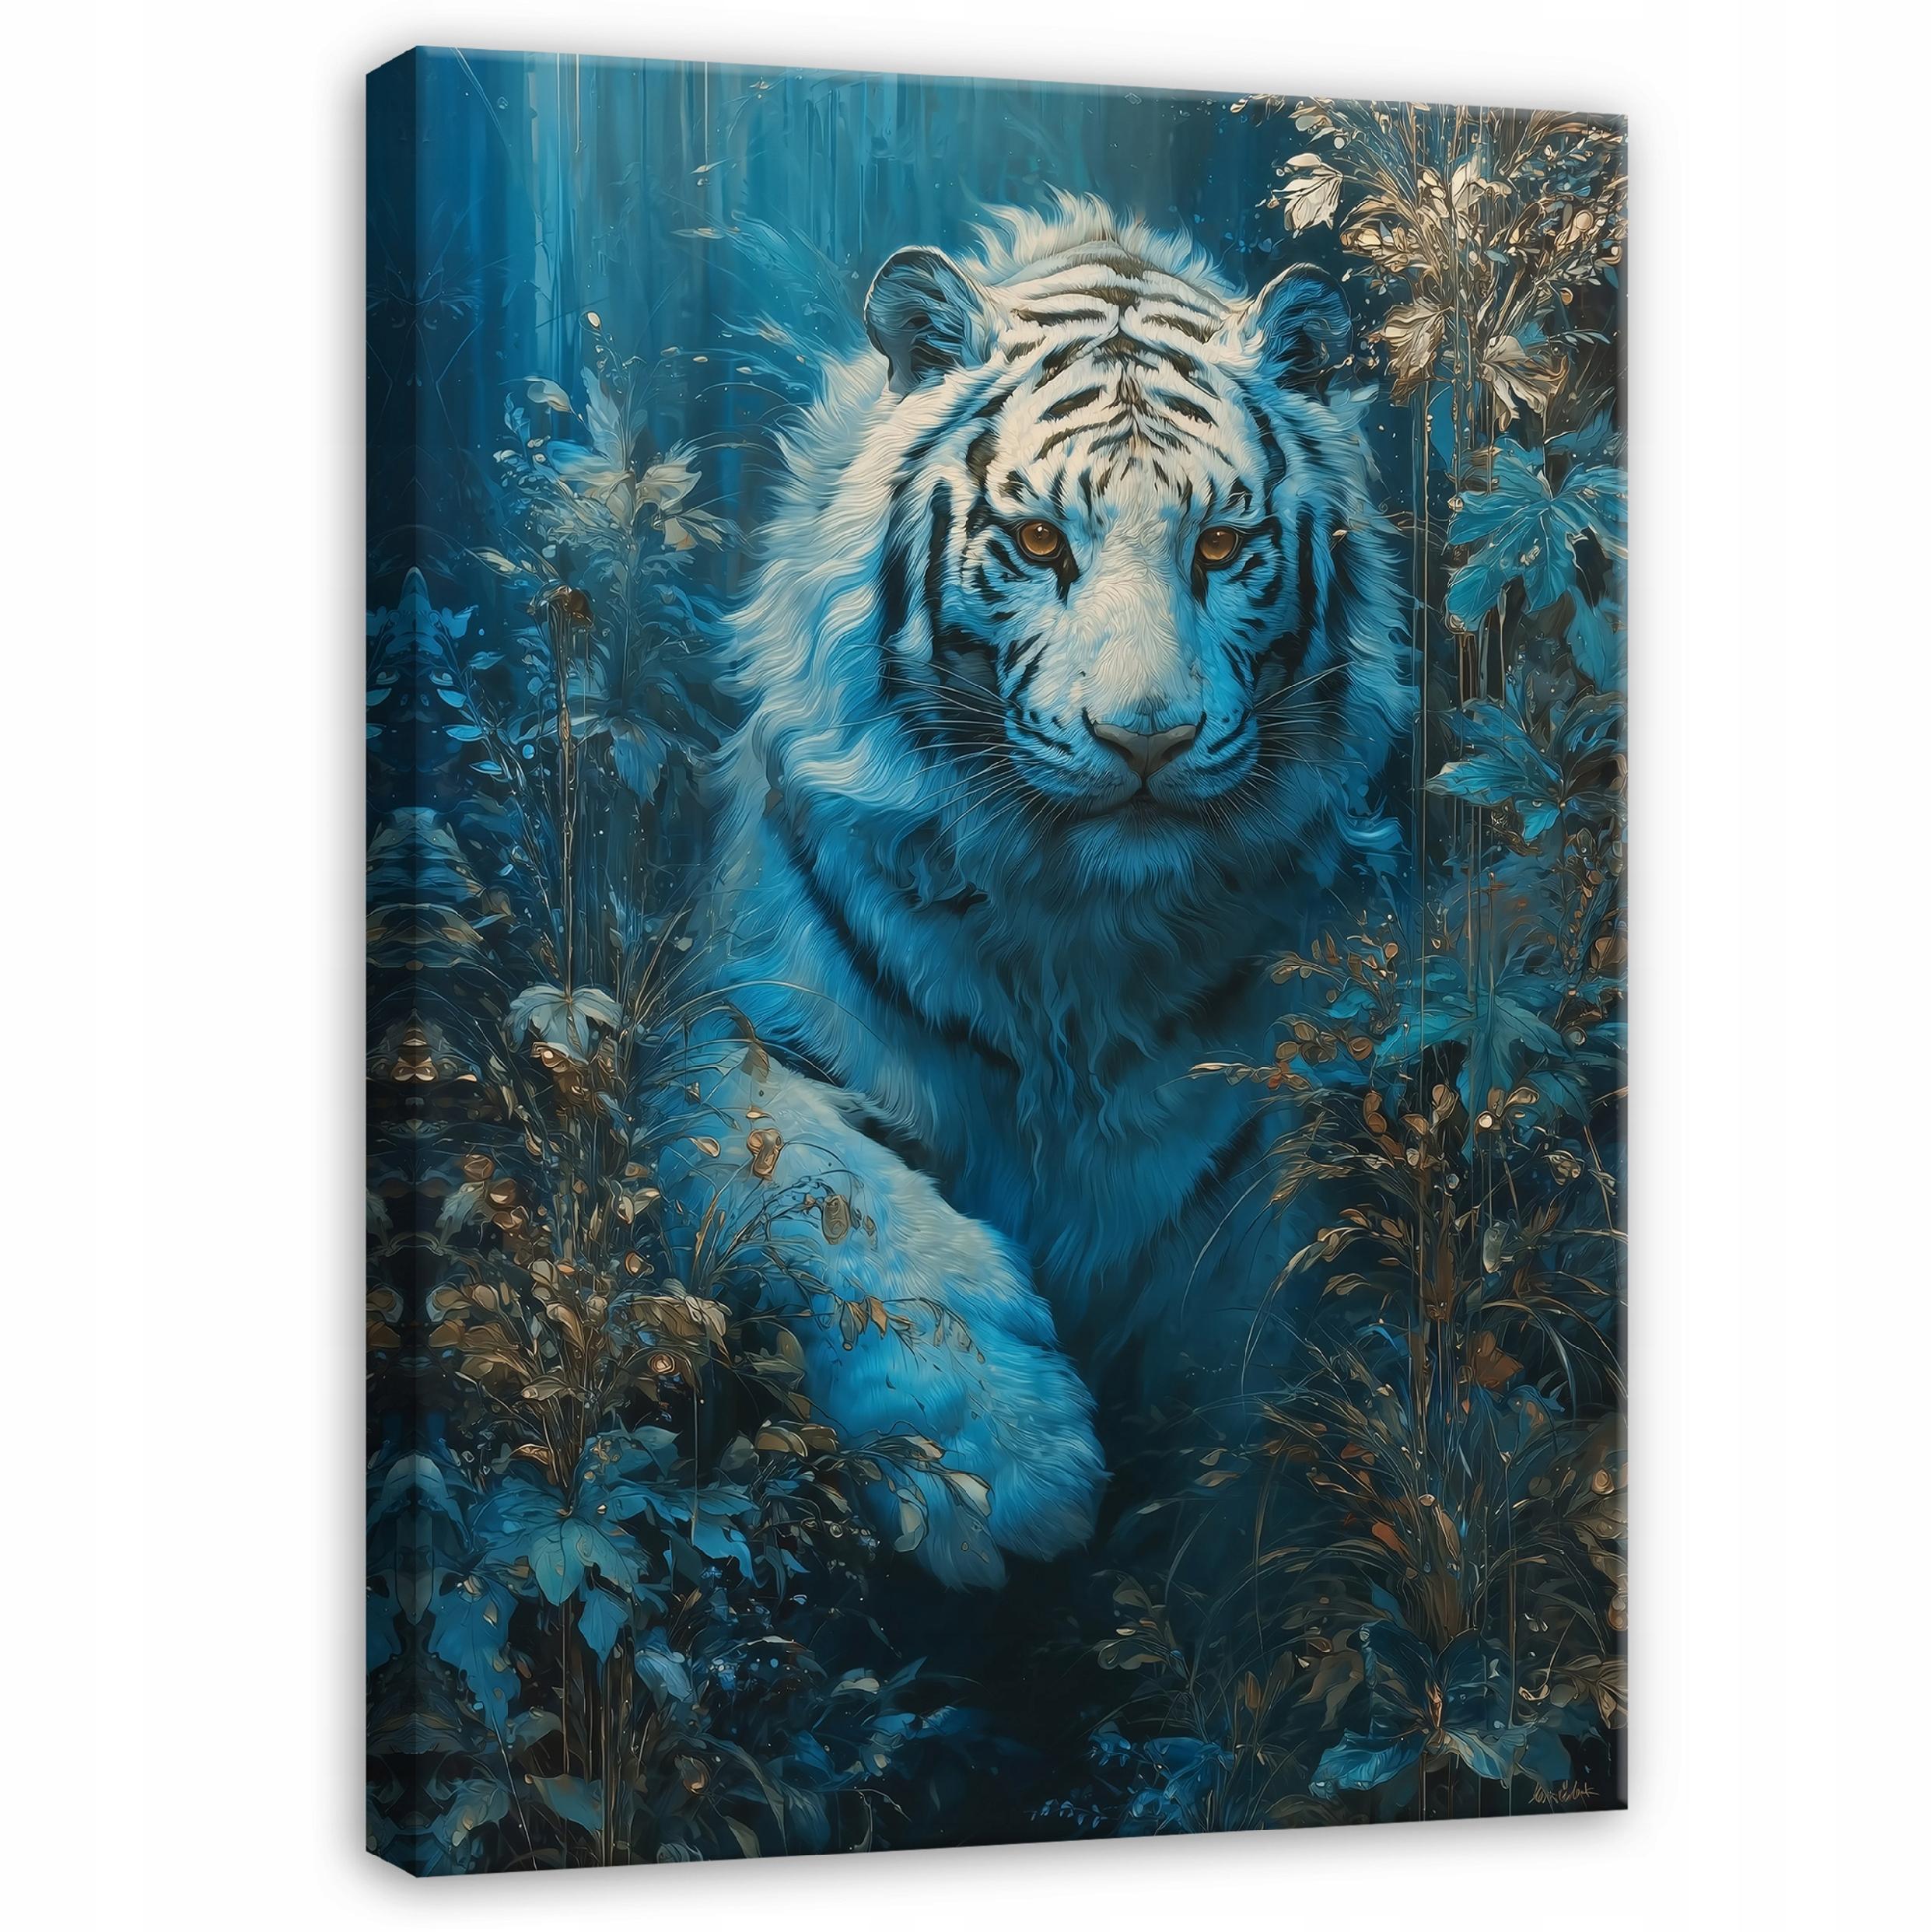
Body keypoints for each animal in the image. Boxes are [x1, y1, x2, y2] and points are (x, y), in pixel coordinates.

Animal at [658, 196, 1411, 1588]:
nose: (1146, 739)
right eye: (1042, 540)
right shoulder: (720, 1034)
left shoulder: (1265, 1129)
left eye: (1221, 544)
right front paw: (998, 1471)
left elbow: (1259, 1356)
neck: (1076, 937)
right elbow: (846, 1207)